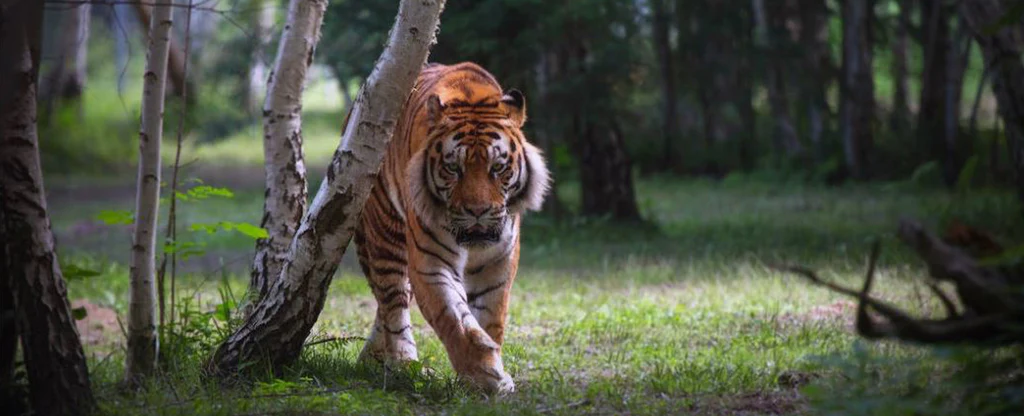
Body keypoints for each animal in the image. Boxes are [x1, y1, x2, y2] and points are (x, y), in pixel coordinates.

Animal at [353, 62, 550, 394]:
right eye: (453, 168)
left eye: (497, 168)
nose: (477, 211)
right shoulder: (431, 262)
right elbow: (455, 318)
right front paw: (486, 377)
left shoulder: (499, 261)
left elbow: (490, 318)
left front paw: (488, 365)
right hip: (387, 233)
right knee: (392, 301)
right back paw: (403, 362)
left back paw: (373, 358)